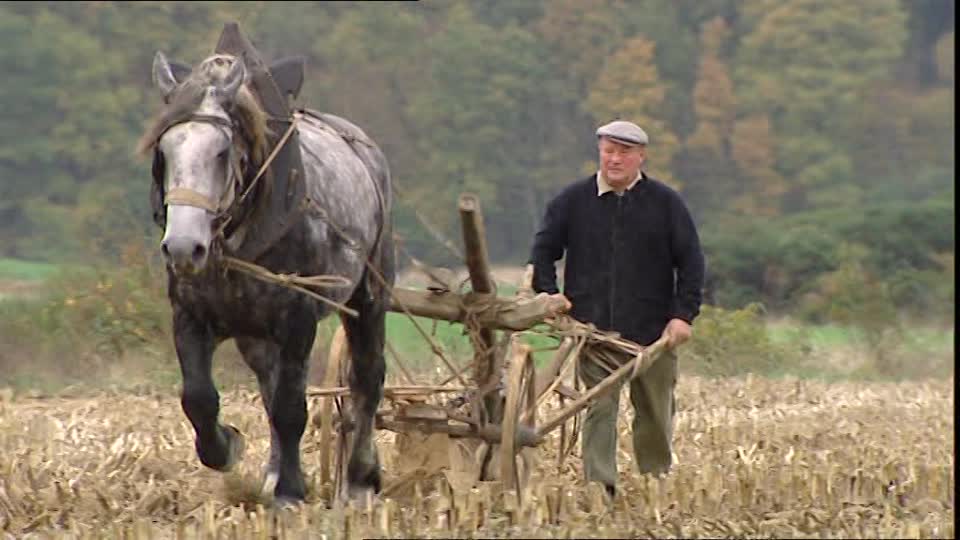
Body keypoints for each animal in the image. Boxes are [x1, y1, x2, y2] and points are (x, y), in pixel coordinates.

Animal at [138, 52, 394, 504]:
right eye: (163, 150)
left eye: (222, 151)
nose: (184, 247)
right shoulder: (189, 315)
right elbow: (199, 399)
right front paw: (227, 447)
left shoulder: (298, 319)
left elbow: (292, 407)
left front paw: (291, 492)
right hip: (255, 335)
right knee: (269, 386)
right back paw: (276, 471)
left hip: (368, 297)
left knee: (366, 378)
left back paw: (360, 478)